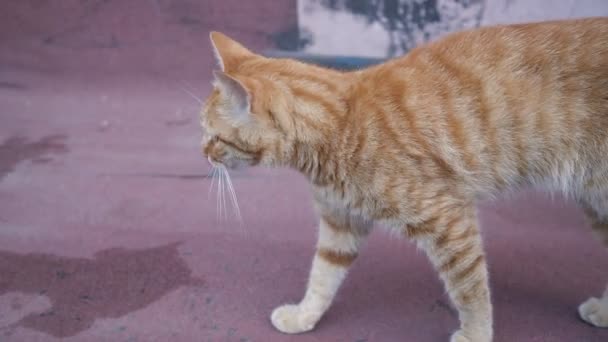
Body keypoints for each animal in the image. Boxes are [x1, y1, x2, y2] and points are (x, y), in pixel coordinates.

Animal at [201, 17, 608, 340]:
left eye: (215, 137)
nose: (203, 153)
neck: (341, 124)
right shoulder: (340, 223)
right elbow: (322, 277)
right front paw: (304, 316)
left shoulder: (451, 224)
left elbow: (470, 292)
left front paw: (476, 334)